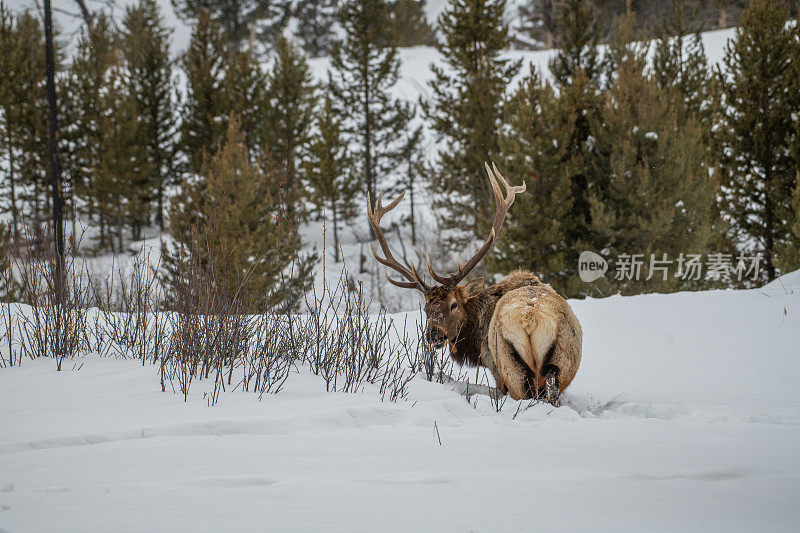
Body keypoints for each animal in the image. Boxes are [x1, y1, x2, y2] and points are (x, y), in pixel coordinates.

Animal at [368, 163, 580, 404]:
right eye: (425, 308)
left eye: (453, 304)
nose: (433, 334)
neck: (475, 342)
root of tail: (530, 319)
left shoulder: (495, 368)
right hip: (562, 359)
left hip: (510, 367)